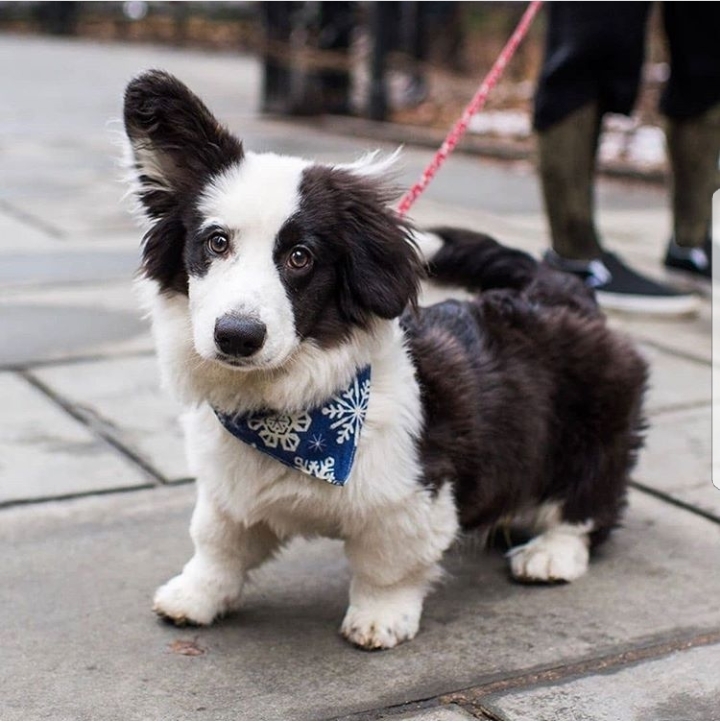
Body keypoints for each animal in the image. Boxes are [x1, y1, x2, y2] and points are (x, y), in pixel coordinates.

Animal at [122, 70, 648, 648]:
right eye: (216, 243)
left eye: (300, 257)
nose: (237, 336)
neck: (290, 416)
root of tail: (559, 289)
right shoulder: (226, 491)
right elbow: (217, 543)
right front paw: (194, 598)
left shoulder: (409, 499)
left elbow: (387, 567)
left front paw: (379, 620)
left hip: (590, 432)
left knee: (588, 504)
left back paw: (551, 553)